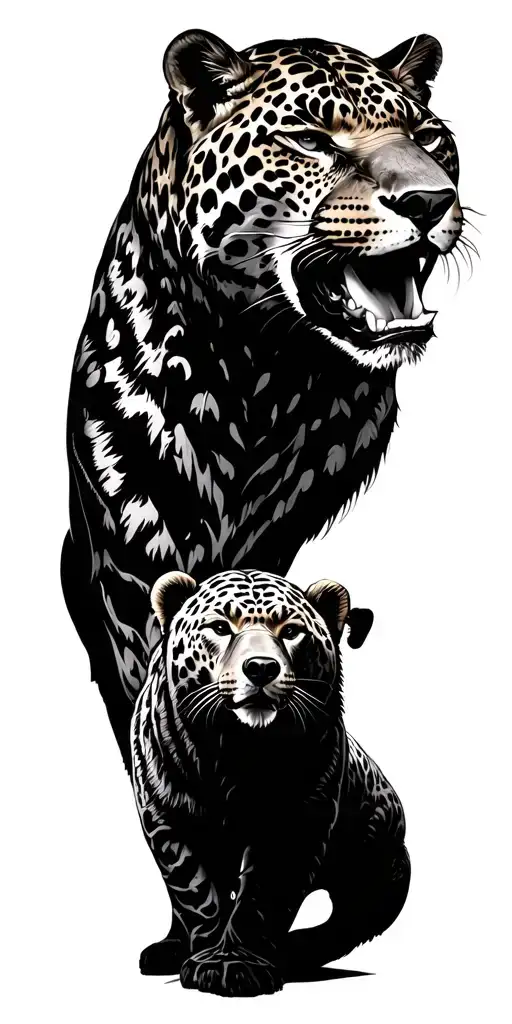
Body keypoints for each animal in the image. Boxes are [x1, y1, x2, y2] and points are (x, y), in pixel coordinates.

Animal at [62, 28, 463, 770]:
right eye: (309, 138)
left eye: (427, 136)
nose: (429, 201)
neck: (265, 372)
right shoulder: (129, 549)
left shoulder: (278, 530)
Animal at [131, 568, 410, 997]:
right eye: (220, 627)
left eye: (291, 631)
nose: (261, 667)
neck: (235, 753)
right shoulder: (166, 817)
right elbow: (194, 892)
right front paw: (206, 956)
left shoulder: (298, 821)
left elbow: (264, 895)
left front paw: (236, 964)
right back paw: (168, 950)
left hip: (384, 859)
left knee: (350, 921)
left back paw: (295, 951)